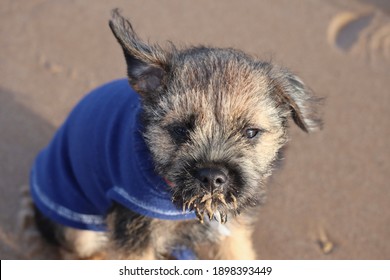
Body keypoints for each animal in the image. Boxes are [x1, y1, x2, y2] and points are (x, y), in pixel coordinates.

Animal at [26, 9, 322, 260]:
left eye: (250, 132)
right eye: (180, 129)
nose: (212, 177)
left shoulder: (230, 226)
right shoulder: (136, 236)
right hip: (80, 230)